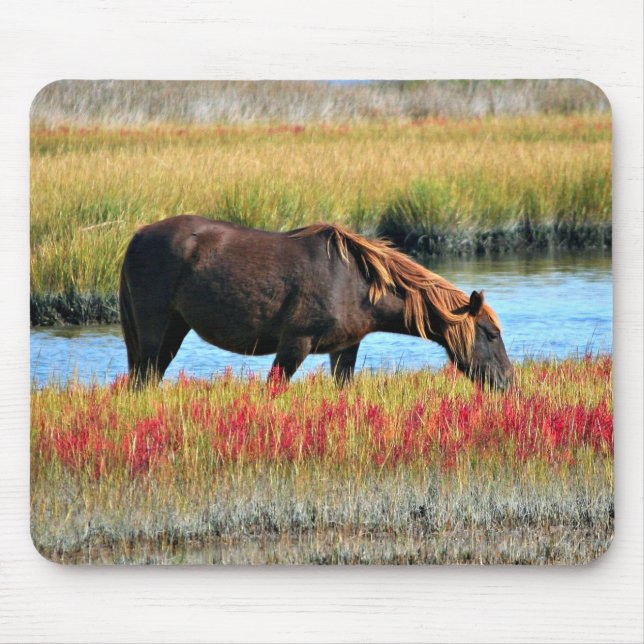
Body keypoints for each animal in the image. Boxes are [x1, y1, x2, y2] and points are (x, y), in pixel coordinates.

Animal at [119, 215, 513, 389]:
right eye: (490, 334)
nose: (509, 382)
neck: (358, 282)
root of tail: (138, 236)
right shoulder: (295, 344)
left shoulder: (344, 349)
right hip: (154, 330)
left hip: (174, 329)